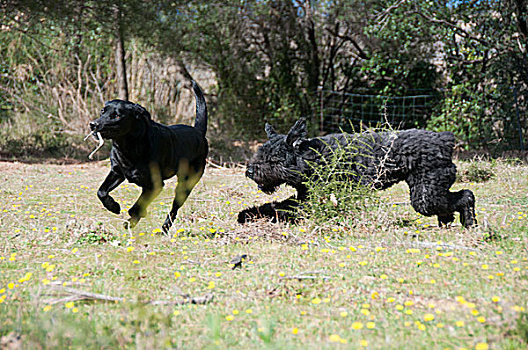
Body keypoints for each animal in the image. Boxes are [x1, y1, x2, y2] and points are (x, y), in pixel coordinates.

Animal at [89, 80, 207, 234]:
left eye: (117, 115)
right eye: (103, 111)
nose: (93, 124)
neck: (128, 147)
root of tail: (199, 132)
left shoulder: (155, 185)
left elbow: (137, 207)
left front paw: (132, 218)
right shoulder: (117, 172)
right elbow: (101, 192)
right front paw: (114, 206)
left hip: (185, 184)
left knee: (174, 209)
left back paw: (164, 229)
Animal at [237, 119, 476, 228]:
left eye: (273, 160)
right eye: (260, 153)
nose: (250, 170)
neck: (311, 158)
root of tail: (444, 139)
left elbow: (281, 208)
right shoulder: (305, 195)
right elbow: (276, 205)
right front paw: (247, 214)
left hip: (425, 195)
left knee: (466, 196)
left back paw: (469, 222)